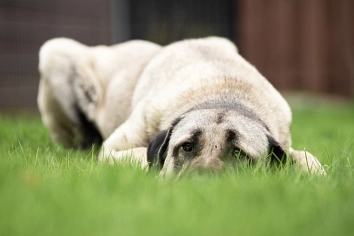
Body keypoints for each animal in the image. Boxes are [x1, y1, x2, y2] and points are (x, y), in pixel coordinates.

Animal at [96, 37, 326, 177]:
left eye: (238, 153)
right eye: (187, 147)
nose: (202, 180)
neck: (223, 96)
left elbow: (306, 158)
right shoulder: (111, 151)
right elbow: (140, 154)